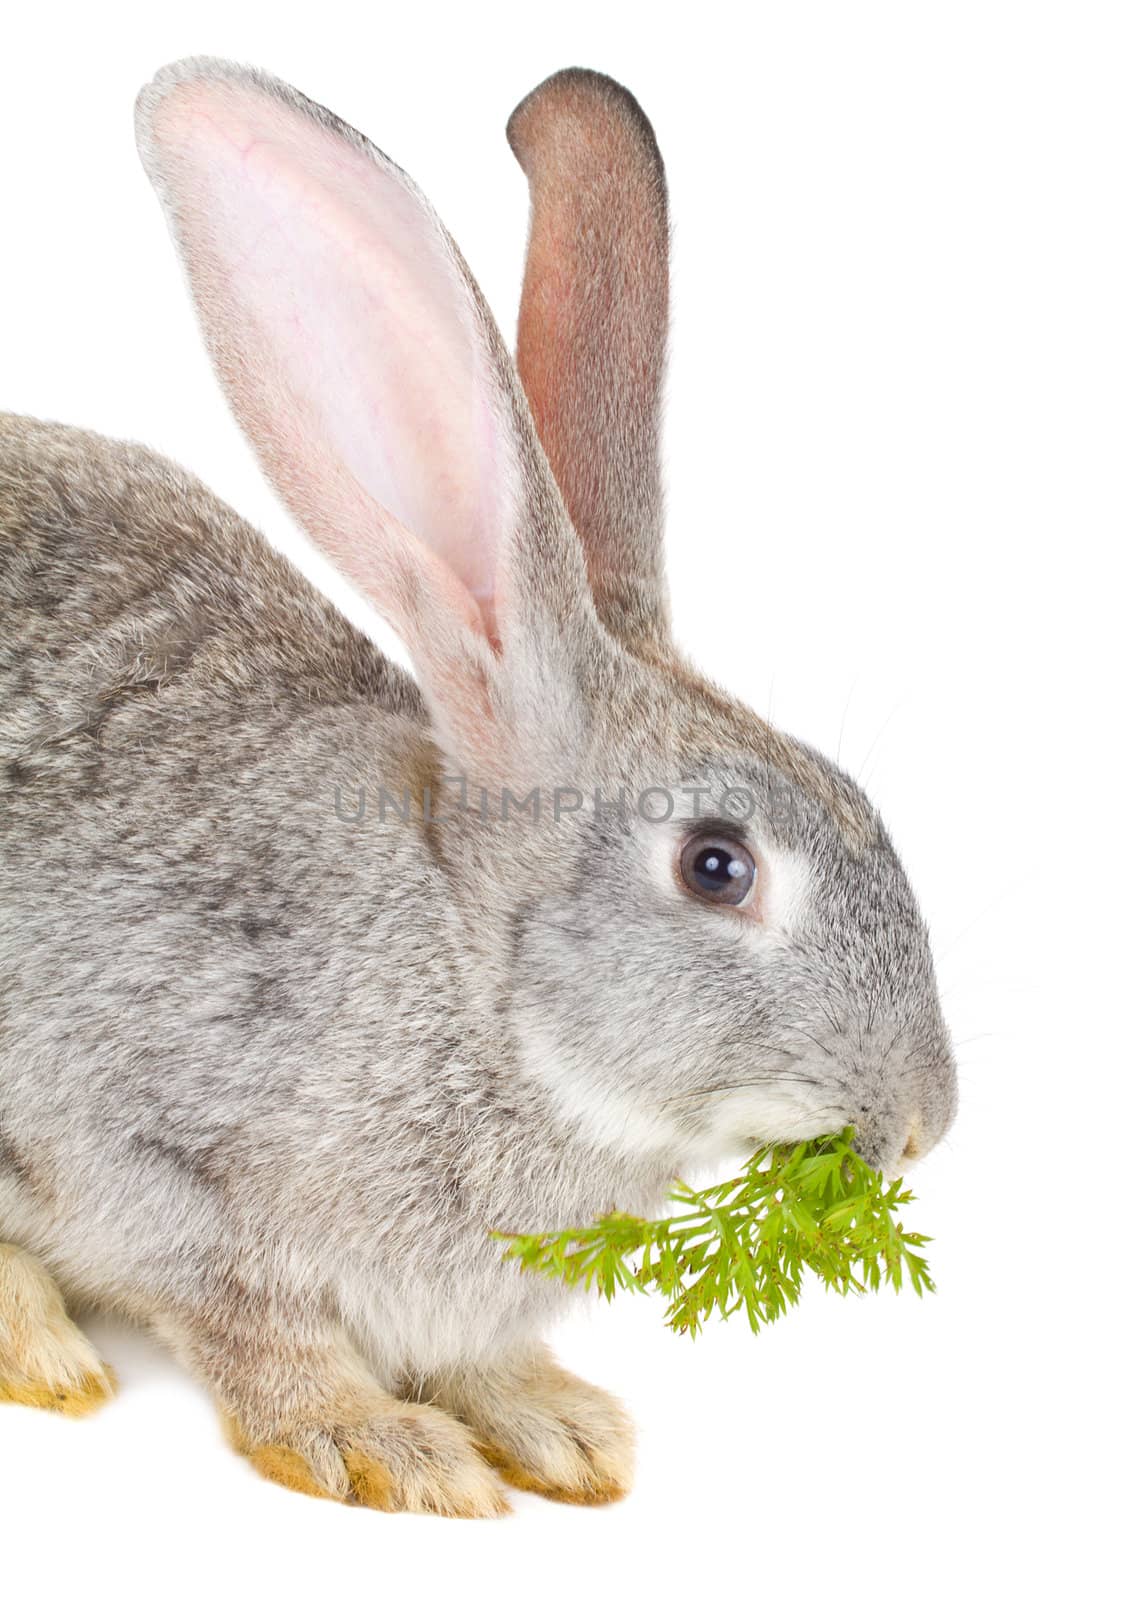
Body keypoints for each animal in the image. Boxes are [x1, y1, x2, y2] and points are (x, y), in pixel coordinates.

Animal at [0, 59, 953, 1510]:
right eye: (716, 865)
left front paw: (558, 1426)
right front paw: (376, 1445)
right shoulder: (142, 1147)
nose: (924, 1125)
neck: (480, 990)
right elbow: (250, 1328)